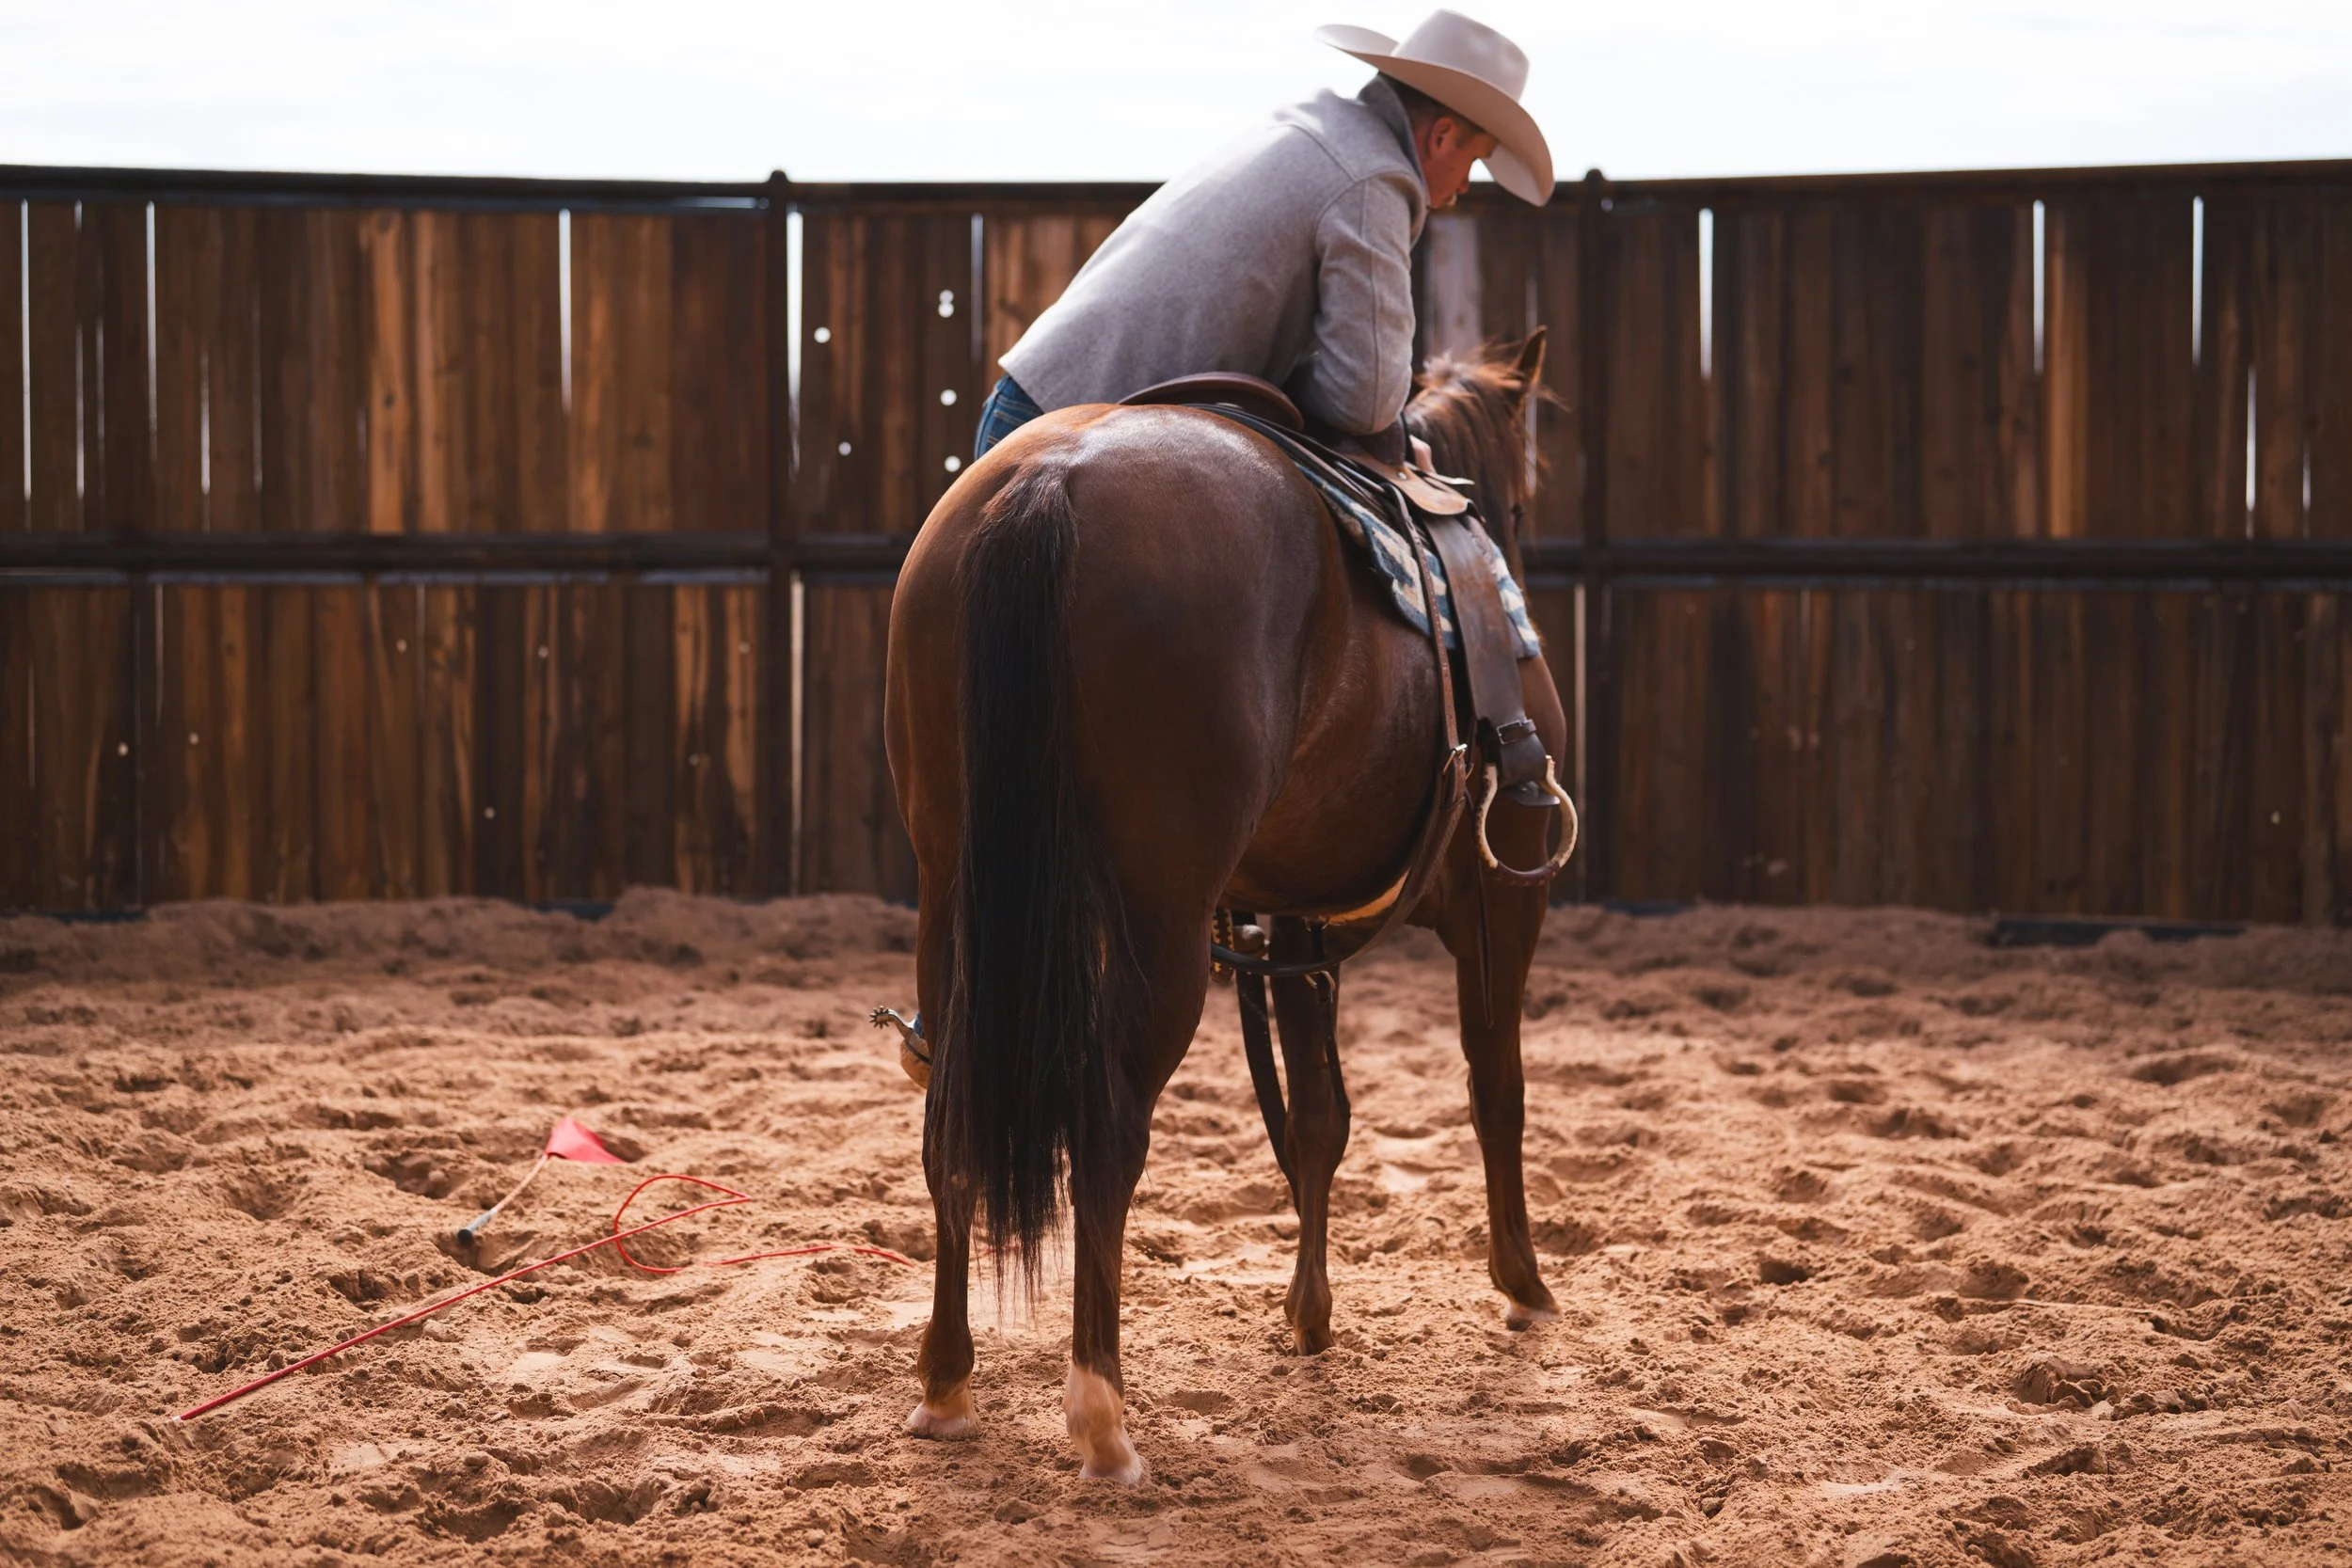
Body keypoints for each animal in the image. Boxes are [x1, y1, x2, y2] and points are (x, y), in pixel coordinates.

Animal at [882, 334, 1568, 1485]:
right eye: (1523, 492)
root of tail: (1050, 482)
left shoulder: (1294, 923)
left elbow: (1320, 1117)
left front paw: (1310, 1313)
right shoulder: (1504, 897)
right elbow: (1495, 1087)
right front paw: (1522, 1284)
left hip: (953, 894)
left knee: (953, 1117)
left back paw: (945, 1381)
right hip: (1159, 925)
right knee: (1108, 1126)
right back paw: (1102, 1416)